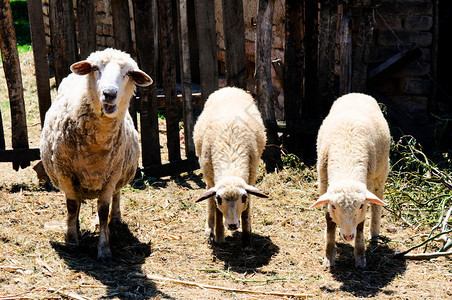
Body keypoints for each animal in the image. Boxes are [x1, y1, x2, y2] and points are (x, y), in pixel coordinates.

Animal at [39, 47, 152, 260]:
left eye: (128, 73)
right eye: (95, 68)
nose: (109, 93)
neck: (95, 149)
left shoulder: (112, 175)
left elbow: (103, 210)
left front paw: (104, 249)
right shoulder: (64, 173)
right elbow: (72, 206)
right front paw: (72, 240)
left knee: (117, 195)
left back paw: (115, 219)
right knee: (75, 204)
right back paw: (74, 226)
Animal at [193, 86, 268, 248]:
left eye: (243, 197)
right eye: (219, 198)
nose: (233, 225)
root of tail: (229, 88)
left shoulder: (250, 178)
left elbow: (246, 212)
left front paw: (246, 240)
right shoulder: (214, 182)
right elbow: (216, 208)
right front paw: (219, 236)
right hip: (208, 174)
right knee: (208, 197)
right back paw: (210, 228)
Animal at [308, 92, 390, 268]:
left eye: (361, 206)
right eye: (333, 206)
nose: (347, 236)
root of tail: (357, 93)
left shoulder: (368, 185)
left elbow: (360, 225)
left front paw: (360, 257)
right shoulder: (323, 182)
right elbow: (329, 221)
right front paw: (328, 256)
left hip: (381, 173)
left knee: (377, 203)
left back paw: (374, 233)